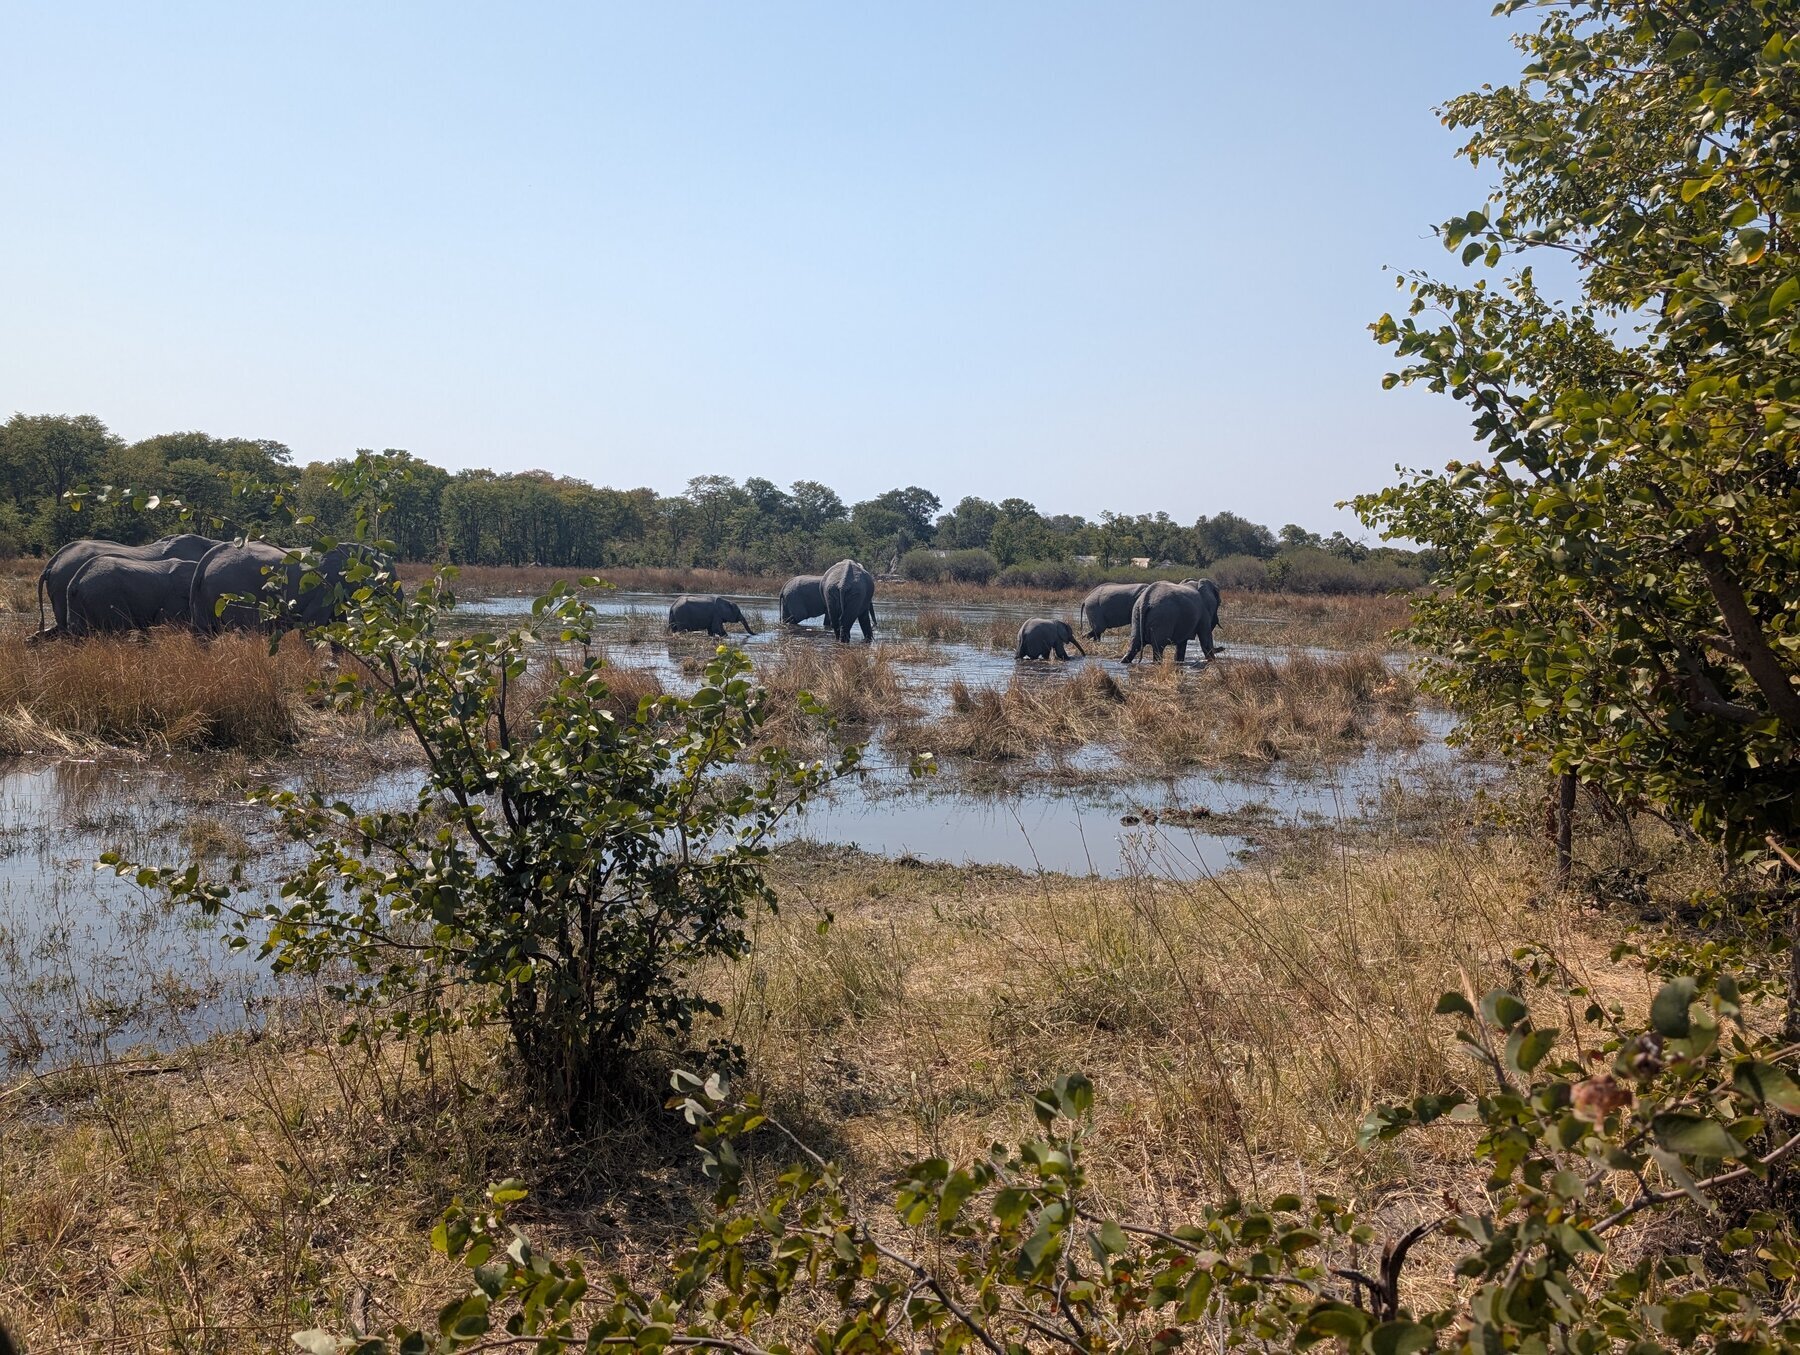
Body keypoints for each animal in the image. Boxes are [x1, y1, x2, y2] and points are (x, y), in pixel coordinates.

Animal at [189, 540, 389, 633]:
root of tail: (205, 561)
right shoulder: (327, 586)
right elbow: (311, 624)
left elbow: (338, 625)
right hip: (233, 591)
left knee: (205, 634)